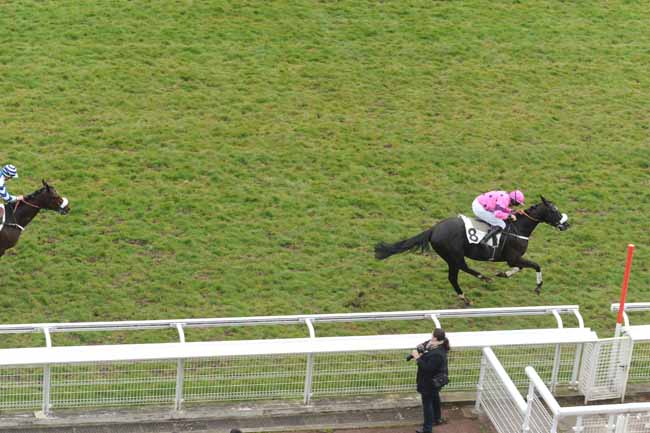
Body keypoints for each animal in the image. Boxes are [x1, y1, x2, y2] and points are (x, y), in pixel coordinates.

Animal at [374, 196, 568, 304]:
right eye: (554, 210)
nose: (566, 224)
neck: (519, 228)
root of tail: (434, 229)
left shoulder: (513, 259)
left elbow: (519, 268)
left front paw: (503, 274)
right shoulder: (513, 257)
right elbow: (536, 265)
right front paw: (538, 287)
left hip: (449, 257)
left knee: (453, 277)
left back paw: (464, 297)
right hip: (454, 254)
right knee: (463, 267)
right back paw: (484, 277)